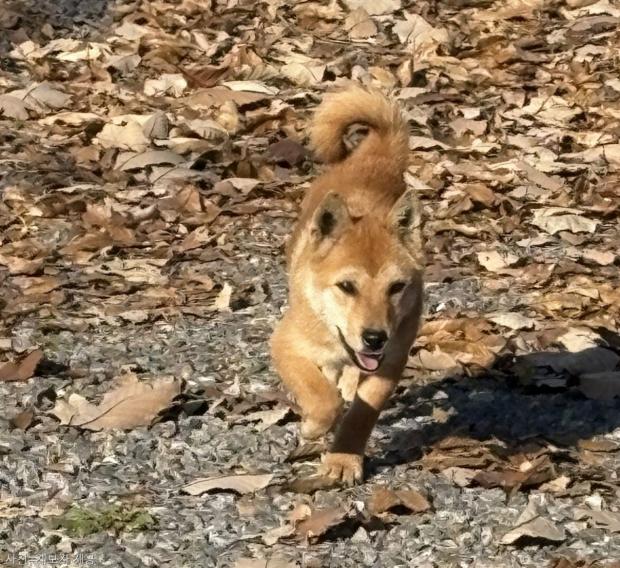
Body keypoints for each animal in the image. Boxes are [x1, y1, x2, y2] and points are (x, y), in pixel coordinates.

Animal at [272, 84, 426, 484]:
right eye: (346, 287)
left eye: (396, 287)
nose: (375, 338)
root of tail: (374, 159)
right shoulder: (285, 345)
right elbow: (321, 397)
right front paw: (314, 426)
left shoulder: (391, 361)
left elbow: (361, 412)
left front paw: (344, 459)